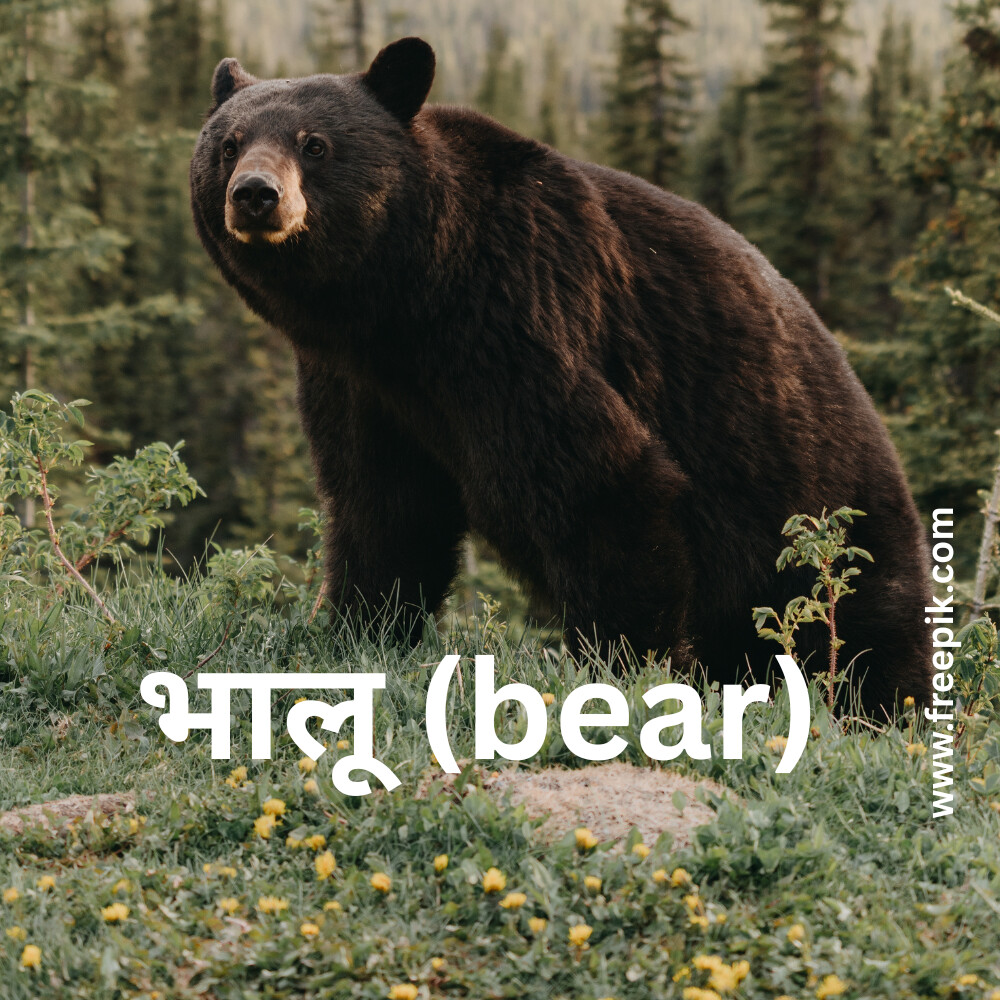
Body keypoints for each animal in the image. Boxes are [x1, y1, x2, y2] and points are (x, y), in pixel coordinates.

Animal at [190, 37, 933, 716]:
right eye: (228, 144)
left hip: (827, 527)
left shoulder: (520, 318)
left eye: (315, 145)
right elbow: (382, 507)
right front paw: (357, 630)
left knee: (867, 641)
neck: (405, 302)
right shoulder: (358, 383)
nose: (255, 195)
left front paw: (620, 669)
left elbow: (602, 484)